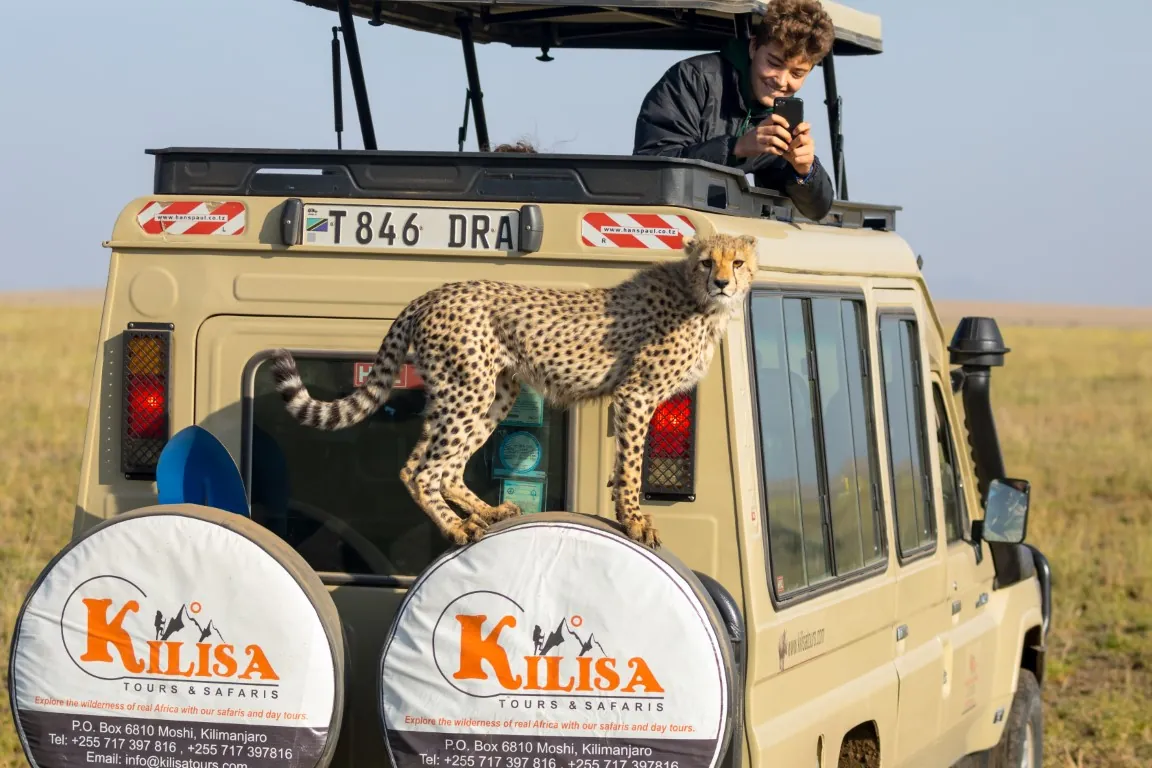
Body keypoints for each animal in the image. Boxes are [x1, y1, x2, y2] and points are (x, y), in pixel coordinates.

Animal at [268, 231, 759, 549]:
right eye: (707, 262)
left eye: (737, 262)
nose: (722, 282)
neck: (697, 299)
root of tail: (434, 292)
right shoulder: (636, 395)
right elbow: (632, 469)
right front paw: (635, 521)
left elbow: (625, 466)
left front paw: (629, 516)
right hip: (467, 390)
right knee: (427, 471)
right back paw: (459, 529)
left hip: (481, 394)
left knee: (426, 467)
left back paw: (485, 513)